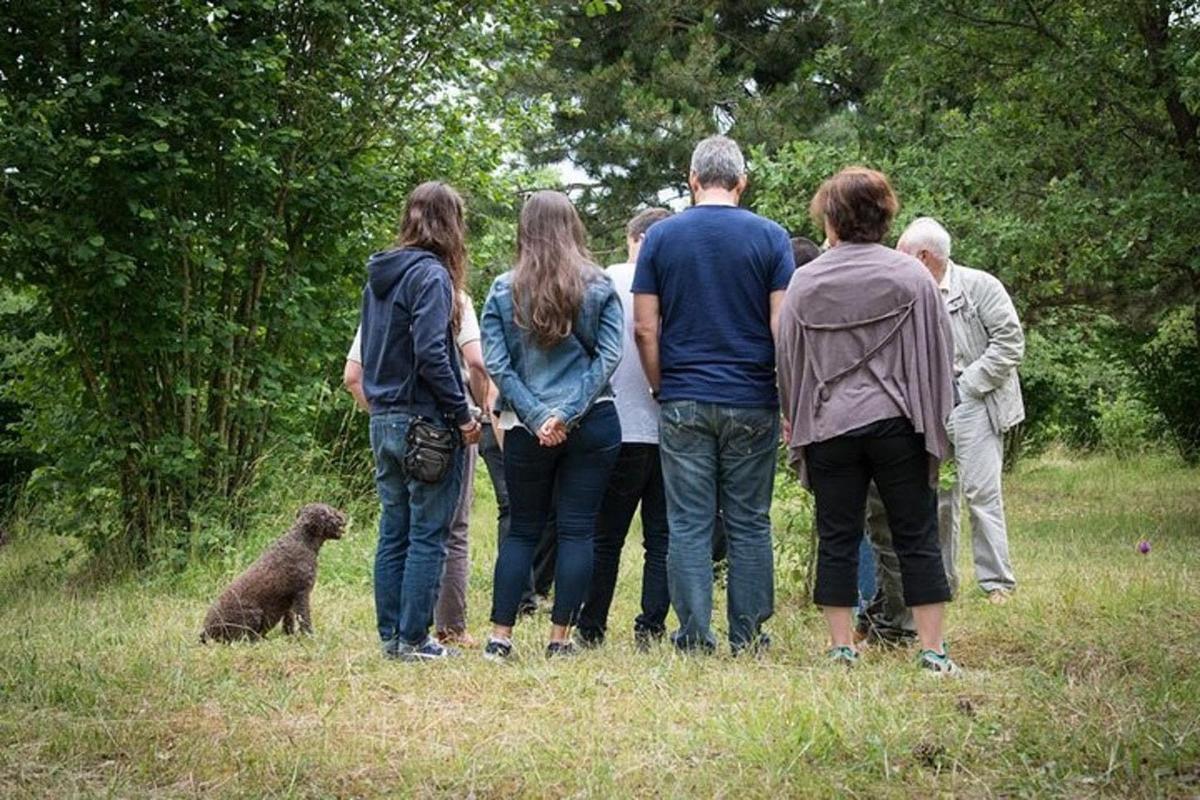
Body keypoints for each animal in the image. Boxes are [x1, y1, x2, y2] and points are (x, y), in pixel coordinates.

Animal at [199, 503, 345, 642]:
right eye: (330, 512)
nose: (345, 516)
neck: (302, 541)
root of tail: (205, 631)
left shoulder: (290, 600)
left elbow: (289, 622)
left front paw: (289, 637)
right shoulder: (301, 594)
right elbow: (305, 620)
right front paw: (310, 639)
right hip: (253, 615)